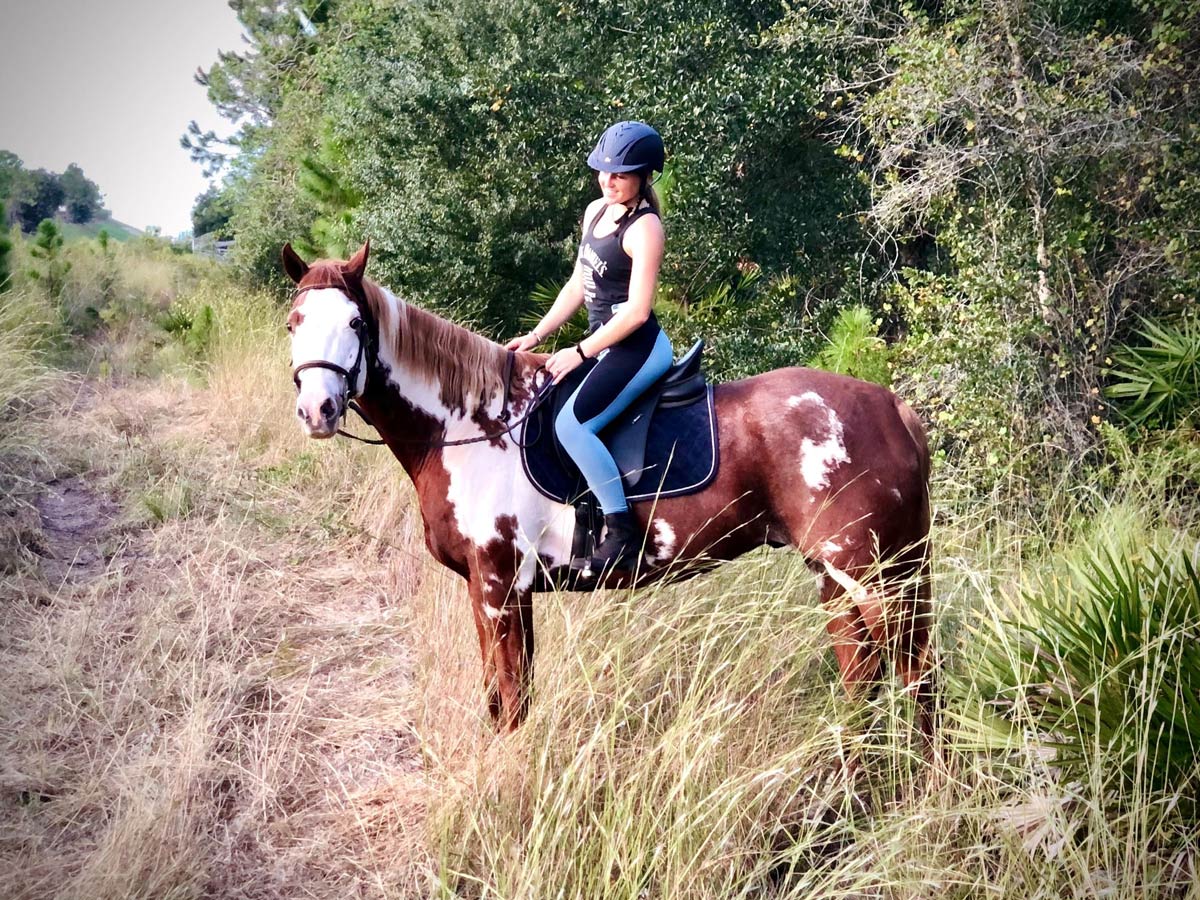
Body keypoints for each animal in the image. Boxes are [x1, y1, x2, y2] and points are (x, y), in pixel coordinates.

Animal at [283, 240, 936, 739]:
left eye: (355, 323)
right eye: (294, 324)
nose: (317, 410)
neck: (473, 424)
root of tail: (892, 406)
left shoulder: (495, 587)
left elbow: (507, 701)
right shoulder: (509, 593)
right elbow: (510, 696)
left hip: (874, 581)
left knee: (909, 678)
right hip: (840, 577)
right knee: (873, 681)